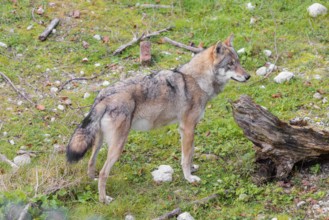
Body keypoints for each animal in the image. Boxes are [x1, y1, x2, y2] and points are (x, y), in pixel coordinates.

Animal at [66, 34, 249, 205]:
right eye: (230, 64)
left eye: (239, 62)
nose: (248, 76)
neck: (198, 80)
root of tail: (103, 96)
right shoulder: (188, 128)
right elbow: (185, 157)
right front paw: (189, 178)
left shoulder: (187, 129)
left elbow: (190, 154)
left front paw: (192, 169)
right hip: (118, 146)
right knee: (104, 172)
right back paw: (104, 199)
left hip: (99, 142)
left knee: (91, 162)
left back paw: (92, 181)